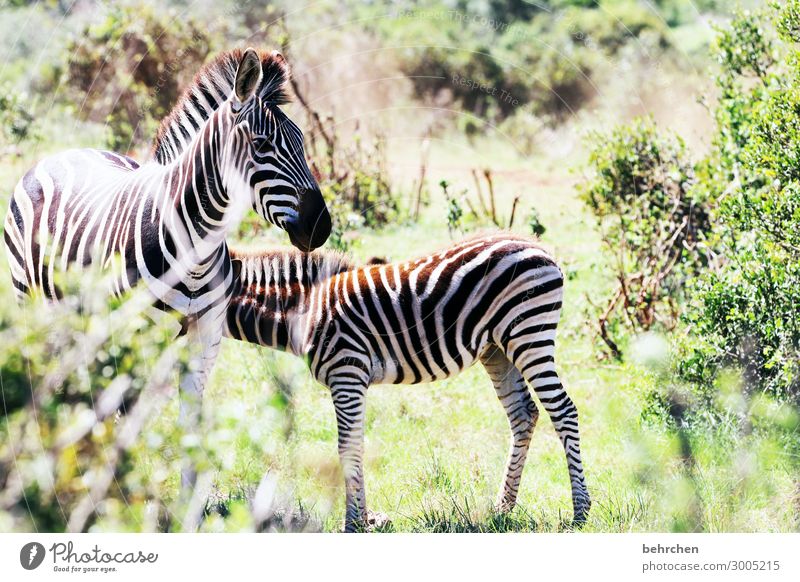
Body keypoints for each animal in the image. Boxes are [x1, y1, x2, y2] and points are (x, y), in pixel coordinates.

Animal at [3, 46, 332, 492]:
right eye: (262, 144)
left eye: (300, 140)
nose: (321, 225)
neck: (194, 250)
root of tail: (68, 151)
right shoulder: (130, 336)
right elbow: (126, 419)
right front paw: (123, 492)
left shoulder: (205, 334)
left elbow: (191, 422)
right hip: (31, 301)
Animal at [228, 234, 592, 532]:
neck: (306, 311)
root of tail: (540, 248)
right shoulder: (349, 380)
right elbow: (356, 444)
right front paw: (366, 520)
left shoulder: (347, 372)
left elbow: (347, 447)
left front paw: (353, 524)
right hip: (498, 348)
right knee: (524, 414)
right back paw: (502, 509)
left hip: (529, 332)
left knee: (563, 410)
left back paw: (580, 512)